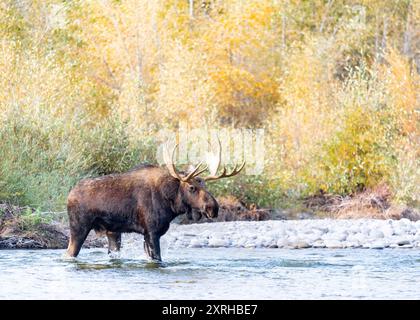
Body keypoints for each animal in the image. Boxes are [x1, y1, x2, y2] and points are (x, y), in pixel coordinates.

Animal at [65, 141, 243, 262]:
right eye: (192, 187)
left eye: (205, 185)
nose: (213, 208)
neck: (171, 204)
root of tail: (69, 195)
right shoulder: (151, 232)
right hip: (79, 227)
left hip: (113, 232)